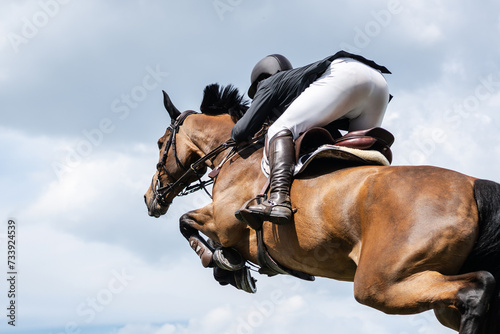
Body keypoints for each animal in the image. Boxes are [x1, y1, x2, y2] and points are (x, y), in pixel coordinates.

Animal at [143, 82, 500, 332]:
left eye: (160, 144)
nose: (149, 198)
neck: (238, 155)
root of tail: (474, 185)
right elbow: (187, 222)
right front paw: (227, 264)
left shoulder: (226, 223)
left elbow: (186, 221)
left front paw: (222, 264)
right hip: (436, 300)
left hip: (381, 283)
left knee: (477, 288)